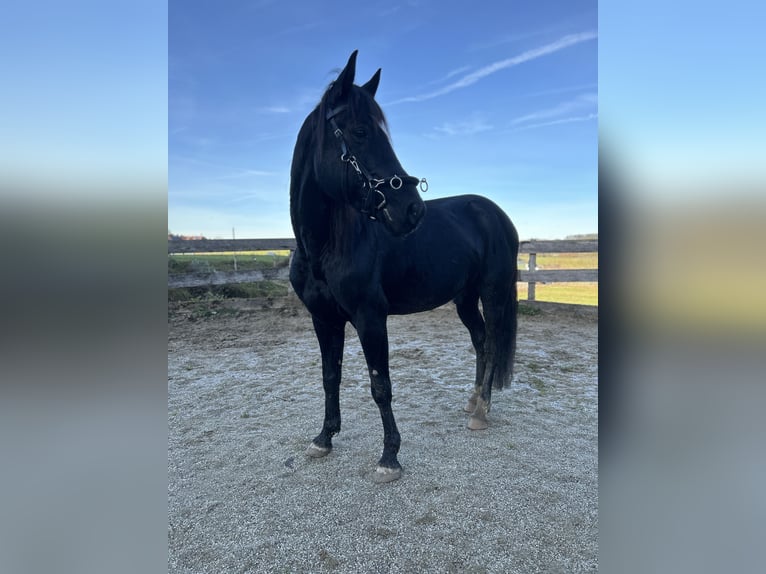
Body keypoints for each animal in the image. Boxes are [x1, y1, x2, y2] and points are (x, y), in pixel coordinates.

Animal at [290, 49, 520, 484]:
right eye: (360, 132)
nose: (413, 209)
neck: (324, 249)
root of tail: (494, 213)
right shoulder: (323, 319)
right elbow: (330, 377)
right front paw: (324, 438)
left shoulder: (370, 318)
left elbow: (381, 385)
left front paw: (389, 457)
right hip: (465, 299)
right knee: (481, 341)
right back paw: (473, 402)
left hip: (494, 290)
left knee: (495, 341)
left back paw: (482, 411)